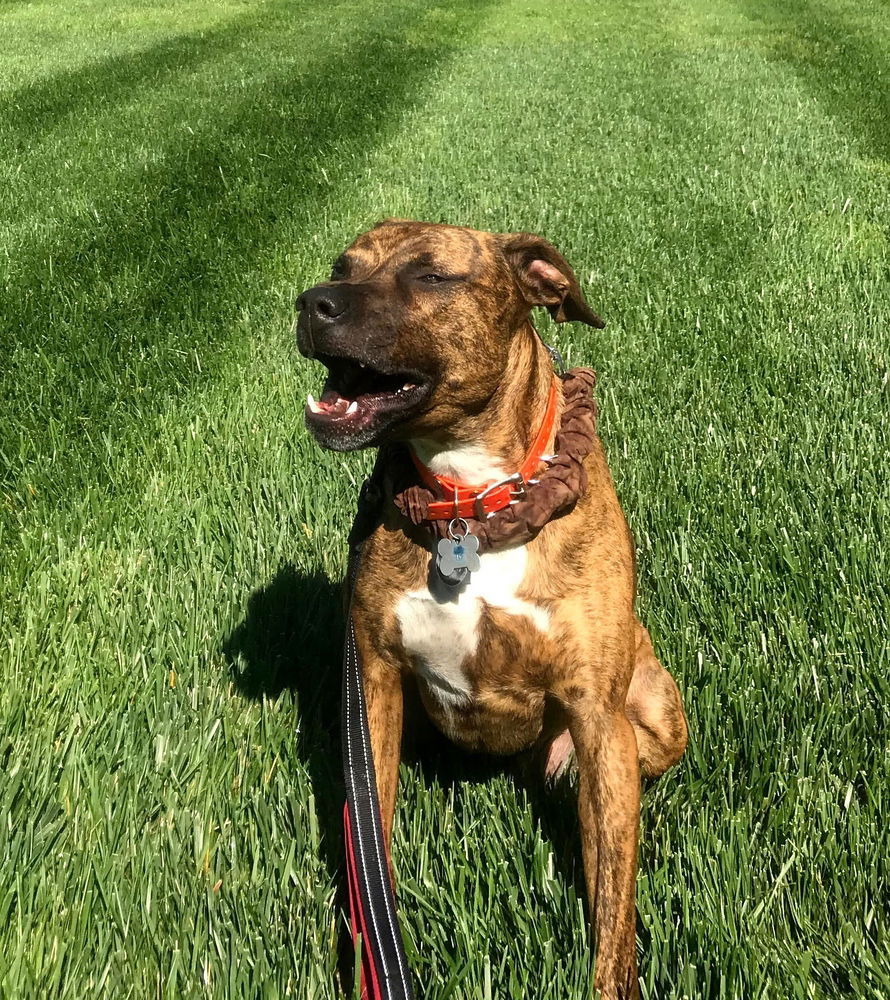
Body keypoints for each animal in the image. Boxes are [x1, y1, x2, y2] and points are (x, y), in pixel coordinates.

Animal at [294, 221, 684, 1000]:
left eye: (431, 276)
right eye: (341, 267)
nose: (313, 301)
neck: (472, 503)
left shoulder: (598, 717)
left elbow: (614, 900)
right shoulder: (373, 688)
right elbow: (369, 850)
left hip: (654, 715)